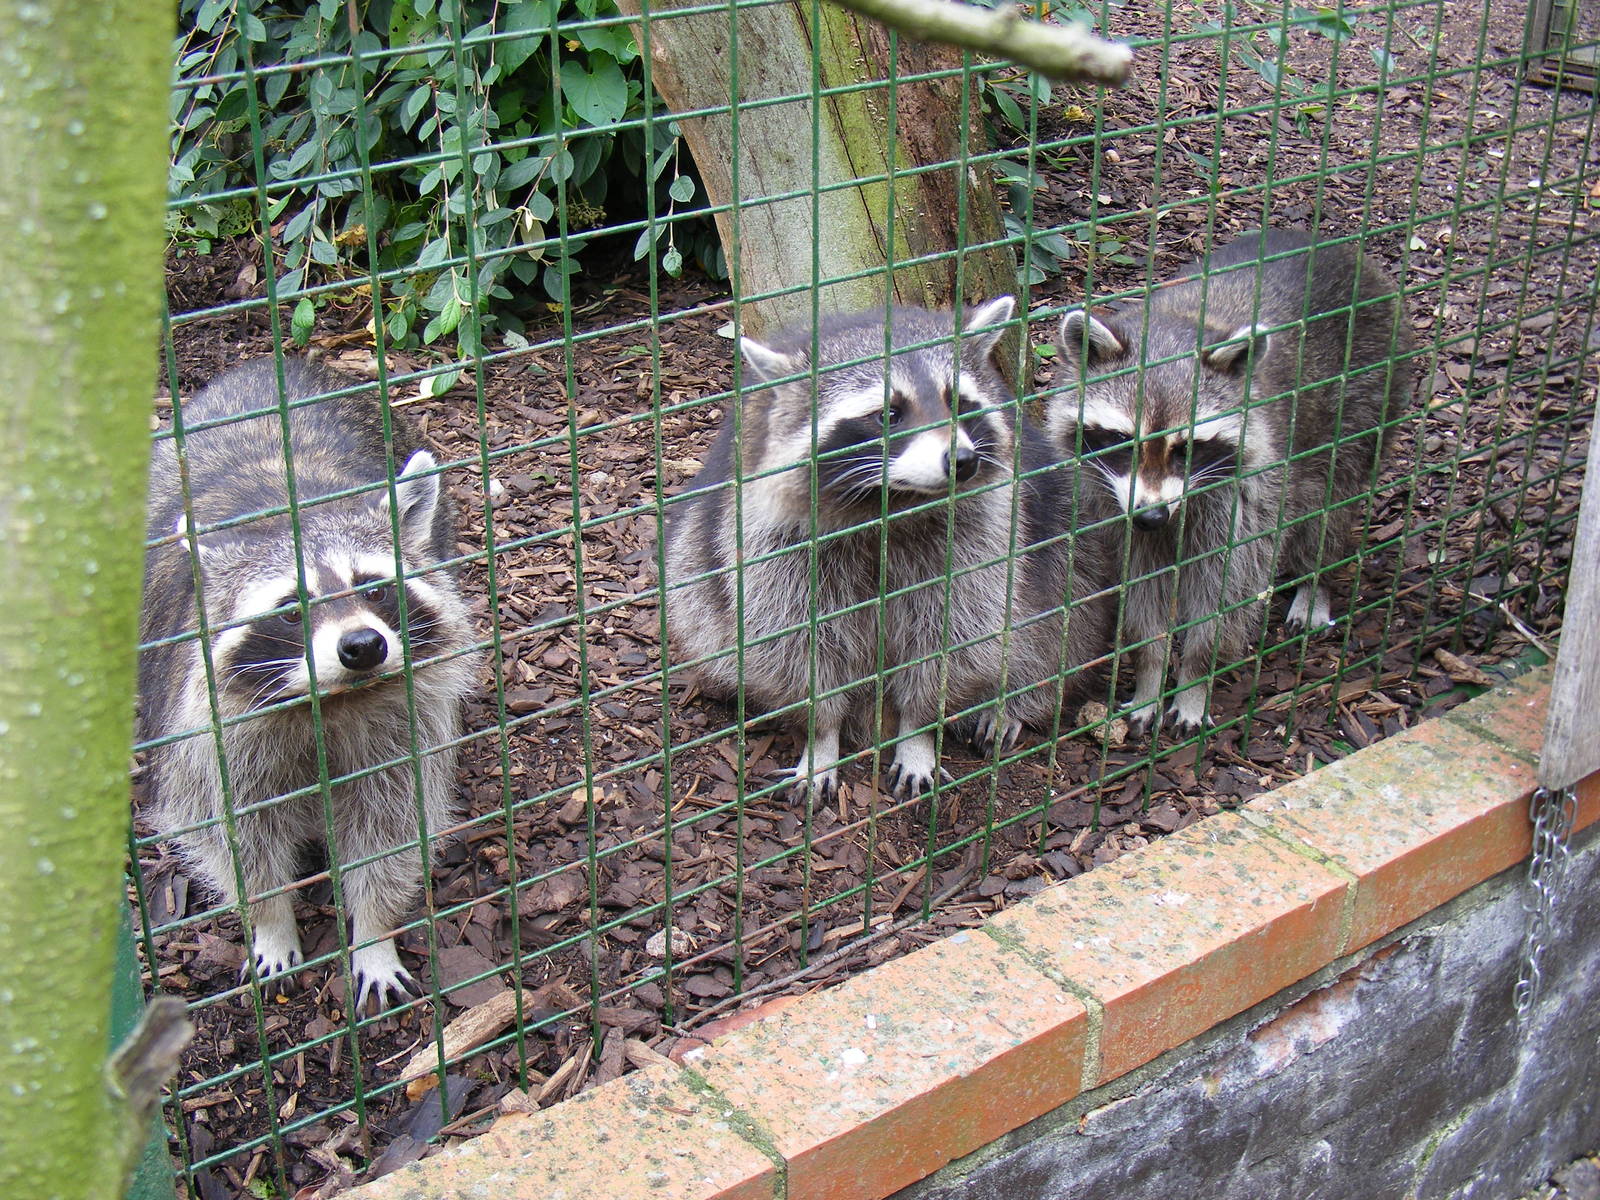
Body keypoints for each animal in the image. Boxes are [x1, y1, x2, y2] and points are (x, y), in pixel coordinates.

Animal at [138, 358, 478, 1010]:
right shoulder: (210, 739)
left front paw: (373, 932)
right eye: (291, 610)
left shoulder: (404, 725)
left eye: (374, 588)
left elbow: (391, 829)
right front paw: (272, 922)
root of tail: (268, 364)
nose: (363, 647)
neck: (333, 702)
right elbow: (236, 837)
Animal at [664, 298, 1111, 799]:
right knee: (700, 604)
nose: (963, 460)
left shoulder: (980, 539)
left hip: (1068, 531)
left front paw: (917, 731)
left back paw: (1013, 700)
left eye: (958, 402)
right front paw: (822, 737)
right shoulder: (775, 549)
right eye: (888, 415)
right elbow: (796, 648)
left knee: (1061, 615)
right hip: (697, 557)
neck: (894, 502)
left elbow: (955, 638)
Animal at [1048, 227, 1413, 733]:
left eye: (1185, 449)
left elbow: (1225, 595)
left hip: (1368, 392)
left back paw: (1315, 580)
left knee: (1330, 503)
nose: (1152, 517)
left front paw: (1194, 682)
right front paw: (1149, 677)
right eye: (1122, 439)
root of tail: (1336, 246)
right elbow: (1141, 592)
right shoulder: (1110, 506)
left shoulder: (1244, 498)